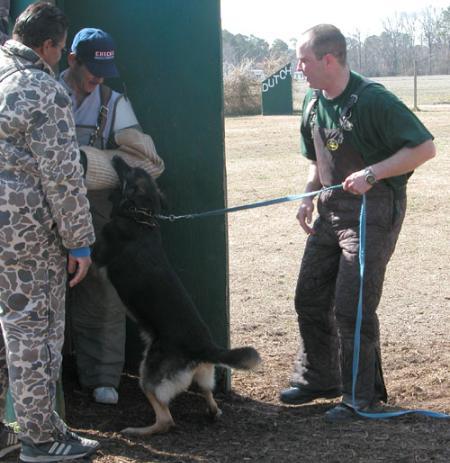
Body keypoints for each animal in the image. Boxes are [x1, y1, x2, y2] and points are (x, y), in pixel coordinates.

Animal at [94, 158, 262, 436]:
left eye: (129, 170)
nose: (116, 158)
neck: (143, 216)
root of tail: (204, 347)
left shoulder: (97, 255)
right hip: (202, 374)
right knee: (208, 394)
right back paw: (212, 411)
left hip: (148, 375)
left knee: (165, 419)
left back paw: (138, 431)